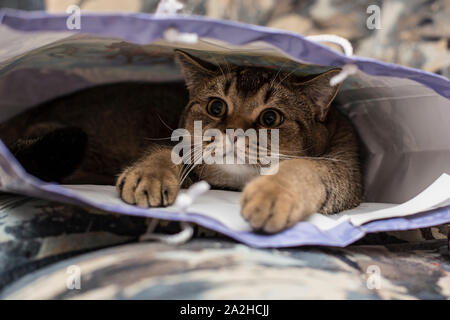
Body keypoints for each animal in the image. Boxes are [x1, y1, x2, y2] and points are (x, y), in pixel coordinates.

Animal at [0, 50, 362, 235]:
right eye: (216, 107)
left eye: (271, 118)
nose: (233, 132)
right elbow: (164, 150)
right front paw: (149, 175)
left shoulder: (343, 172)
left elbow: (302, 169)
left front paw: (272, 195)